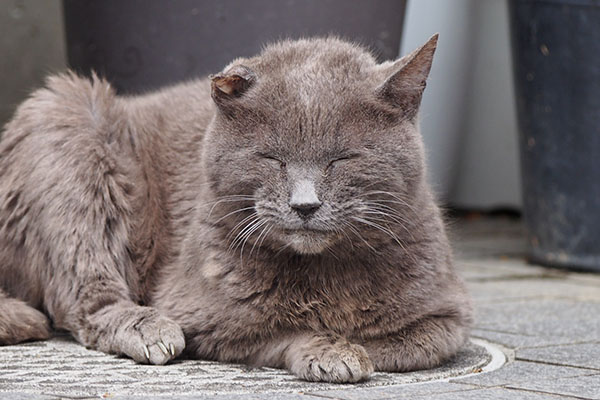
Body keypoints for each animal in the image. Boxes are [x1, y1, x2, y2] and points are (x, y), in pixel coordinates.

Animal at [1, 36, 474, 382]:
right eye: (272, 158)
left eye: (341, 159)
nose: (305, 204)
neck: (325, 273)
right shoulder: (202, 311)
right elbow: (280, 329)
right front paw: (331, 351)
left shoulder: (448, 317)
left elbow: (409, 344)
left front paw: (351, 343)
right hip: (70, 124)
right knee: (83, 300)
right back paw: (148, 329)